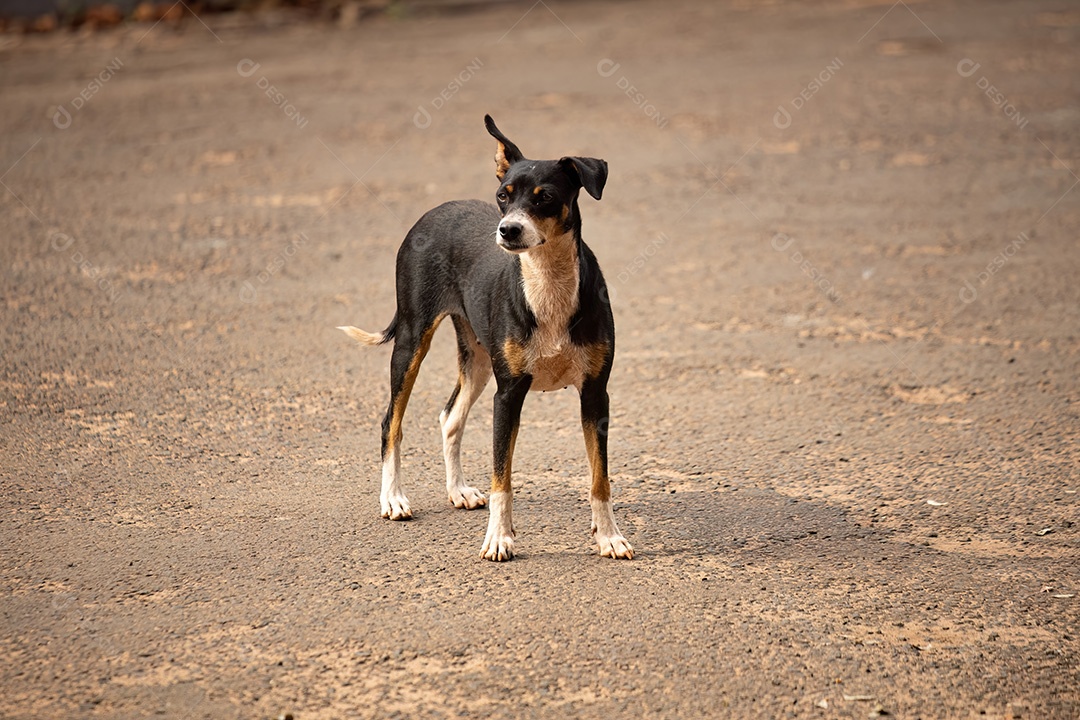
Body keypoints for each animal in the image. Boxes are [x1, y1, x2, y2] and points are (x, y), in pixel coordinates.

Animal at [339, 113, 630, 561]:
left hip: (476, 359)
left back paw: (458, 490)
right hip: (412, 341)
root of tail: (435, 210)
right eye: (502, 196)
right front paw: (499, 539)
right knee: (392, 421)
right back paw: (393, 499)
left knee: (450, 417)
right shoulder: (508, 394)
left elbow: (600, 478)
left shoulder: (596, 393)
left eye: (545, 197)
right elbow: (502, 480)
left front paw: (609, 536)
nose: (507, 230)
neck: (547, 283)